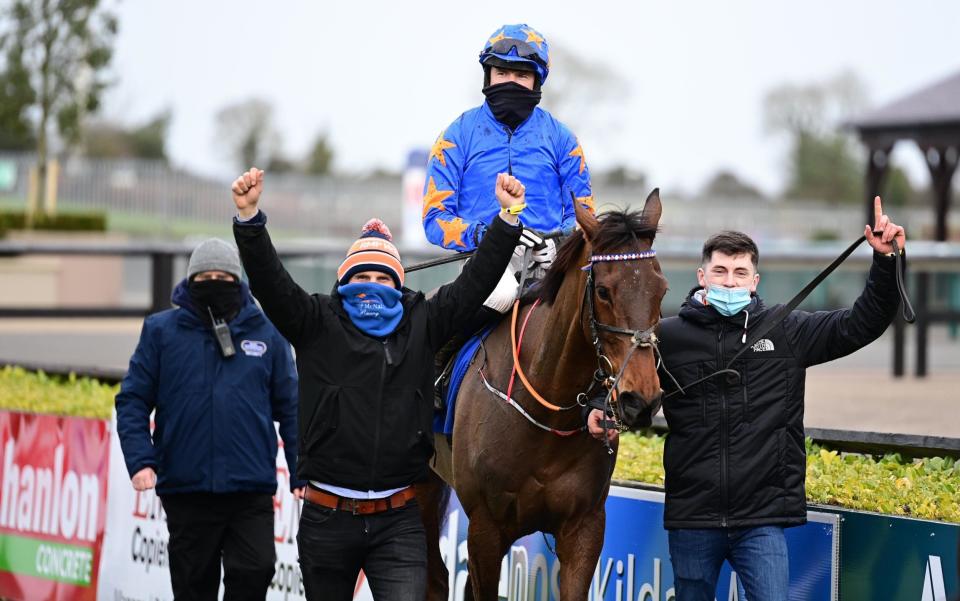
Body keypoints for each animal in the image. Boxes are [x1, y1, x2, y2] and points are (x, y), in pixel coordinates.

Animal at [416, 190, 672, 596]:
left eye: (661, 290)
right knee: (436, 579)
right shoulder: (486, 527)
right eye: (603, 291)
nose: (642, 400)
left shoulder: (585, 528)